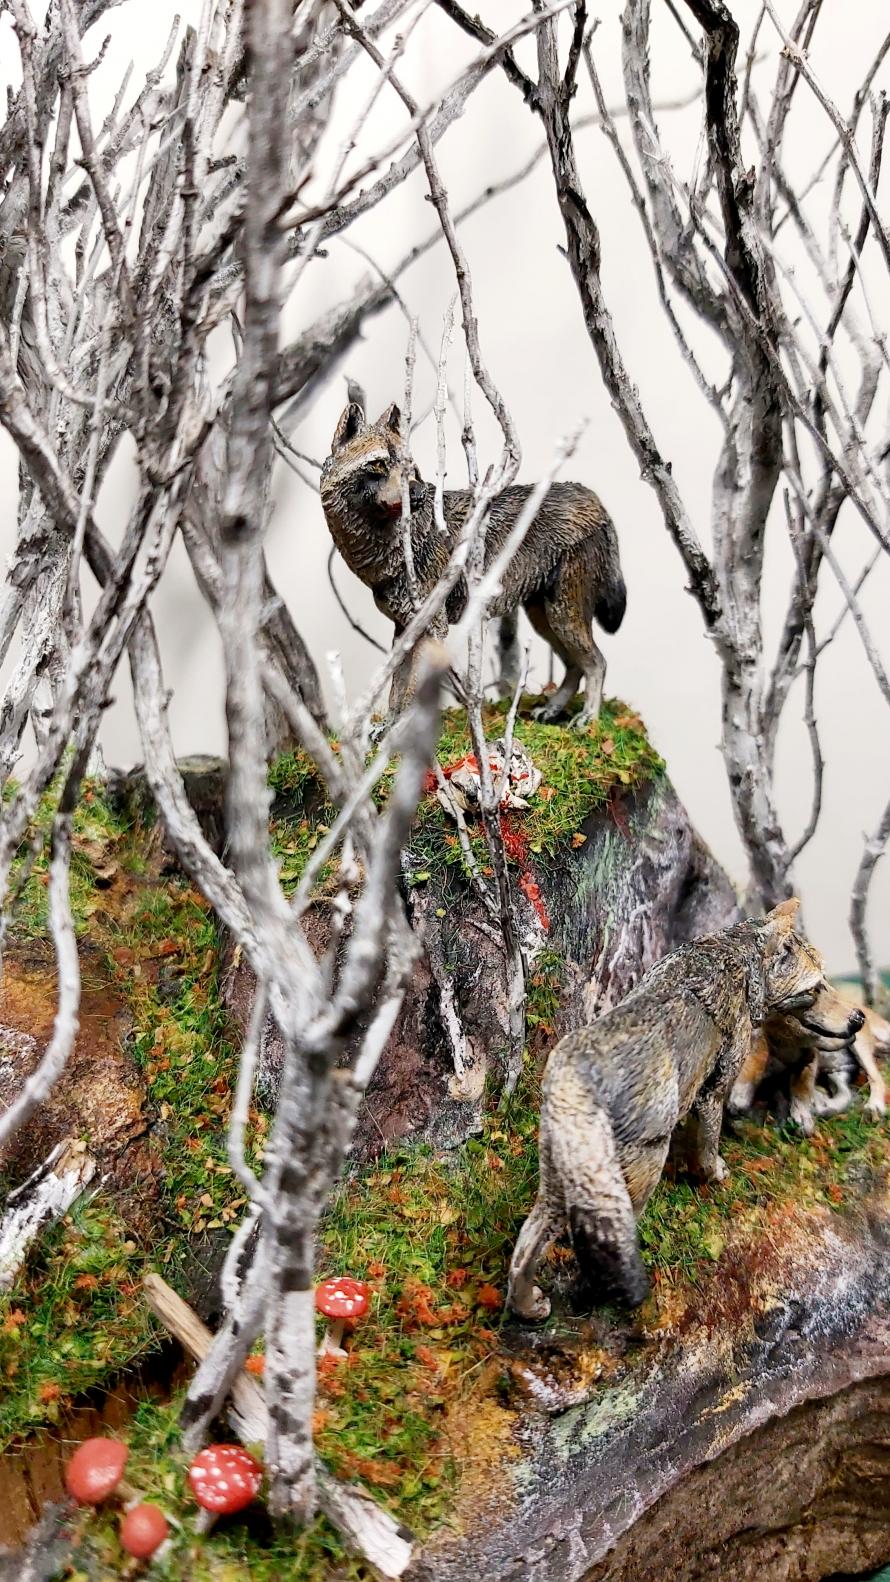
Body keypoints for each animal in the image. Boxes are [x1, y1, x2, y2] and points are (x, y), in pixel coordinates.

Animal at [319, 401, 627, 725]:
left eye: (410, 467)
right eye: (378, 465)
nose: (419, 492)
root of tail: (593, 497)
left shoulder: (433, 629)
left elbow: (409, 690)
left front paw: (403, 729)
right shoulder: (403, 629)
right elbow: (396, 689)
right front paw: (387, 728)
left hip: (563, 617)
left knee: (597, 662)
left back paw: (588, 719)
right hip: (545, 619)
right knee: (575, 665)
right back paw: (553, 710)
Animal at [506, 899, 825, 1321]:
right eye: (817, 987)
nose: (852, 1021)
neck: (736, 956)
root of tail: (577, 1077)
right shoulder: (712, 1095)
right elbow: (707, 1151)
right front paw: (714, 1174)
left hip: (558, 1192)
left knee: (523, 1256)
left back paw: (528, 1308)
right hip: (638, 1179)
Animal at [729, 985, 887, 1135]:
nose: (858, 1018)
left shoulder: (808, 1057)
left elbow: (801, 1087)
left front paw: (802, 1116)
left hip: (860, 1049)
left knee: (876, 1079)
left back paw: (874, 1107)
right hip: (836, 1070)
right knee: (844, 1091)